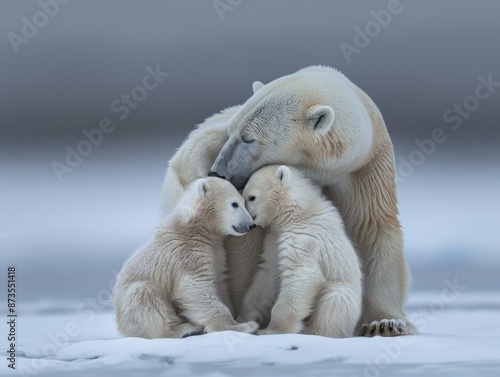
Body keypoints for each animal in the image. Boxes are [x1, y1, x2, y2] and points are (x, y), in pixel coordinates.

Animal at [163, 66, 414, 336]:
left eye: (249, 138)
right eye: (232, 131)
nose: (217, 172)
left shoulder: (363, 168)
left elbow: (371, 227)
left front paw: (385, 323)